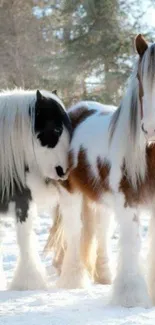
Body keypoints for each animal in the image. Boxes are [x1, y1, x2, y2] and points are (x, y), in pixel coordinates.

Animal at [44, 34, 155, 306]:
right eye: (140, 78)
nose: (149, 129)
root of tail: (76, 110)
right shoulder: (127, 203)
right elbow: (131, 244)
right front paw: (130, 297)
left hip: (101, 201)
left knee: (101, 231)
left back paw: (104, 276)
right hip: (70, 195)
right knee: (75, 233)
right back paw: (74, 280)